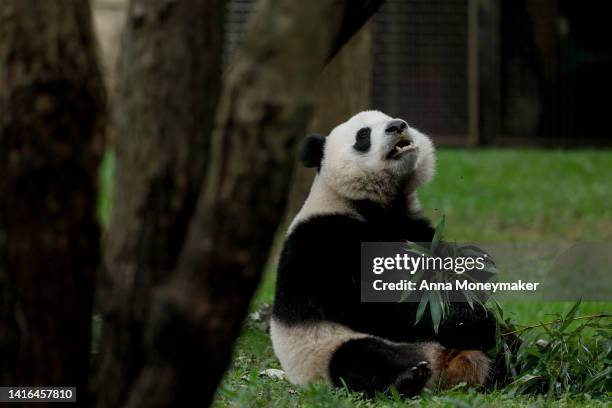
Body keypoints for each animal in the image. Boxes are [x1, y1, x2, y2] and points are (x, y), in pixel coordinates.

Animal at [272, 110, 498, 396]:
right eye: (363, 135)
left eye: (391, 118)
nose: (397, 126)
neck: (375, 204)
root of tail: (443, 367)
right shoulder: (324, 238)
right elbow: (367, 301)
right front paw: (467, 318)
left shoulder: (412, 228)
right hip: (323, 347)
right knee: (359, 358)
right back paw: (407, 377)